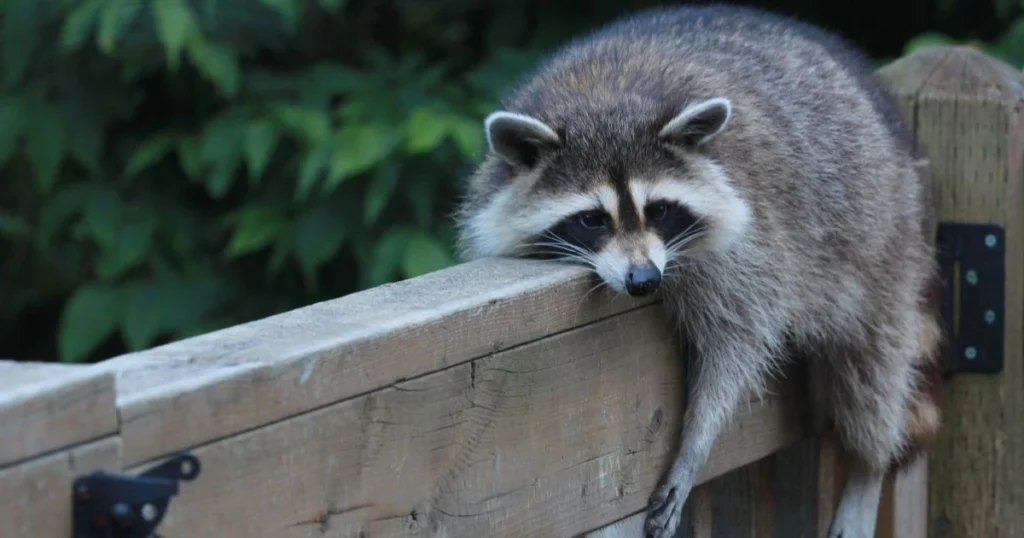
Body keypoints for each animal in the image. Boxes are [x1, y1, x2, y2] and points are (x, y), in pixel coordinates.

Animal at [454, 4, 942, 536]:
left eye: (660, 210)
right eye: (592, 219)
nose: (644, 280)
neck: (604, 97)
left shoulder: (755, 242)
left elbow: (738, 340)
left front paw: (696, 440)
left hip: (883, 242)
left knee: (873, 371)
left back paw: (868, 469)